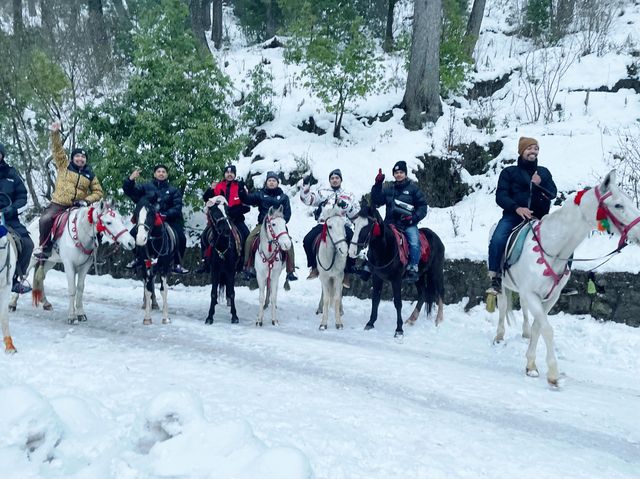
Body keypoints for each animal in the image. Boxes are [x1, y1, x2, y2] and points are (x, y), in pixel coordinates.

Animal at [316, 204, 348, 332]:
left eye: (343, 225)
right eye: (329, 226)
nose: (344, 249)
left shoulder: (338, 277)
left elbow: (337, 298)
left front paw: (339, 323)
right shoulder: (324, 277)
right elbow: (326, 299)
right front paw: (323, 324)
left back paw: (340, 309)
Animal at [496, 171, 640, 388]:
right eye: (618, 205)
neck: (552, 248)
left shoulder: (550, 297)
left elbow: (539, 327)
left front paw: (531, 365)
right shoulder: (532, 294)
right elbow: (547, 329)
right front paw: (553, 374)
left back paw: (524, 332)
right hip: (502, 284)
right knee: (503, 304)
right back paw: (499, 335)